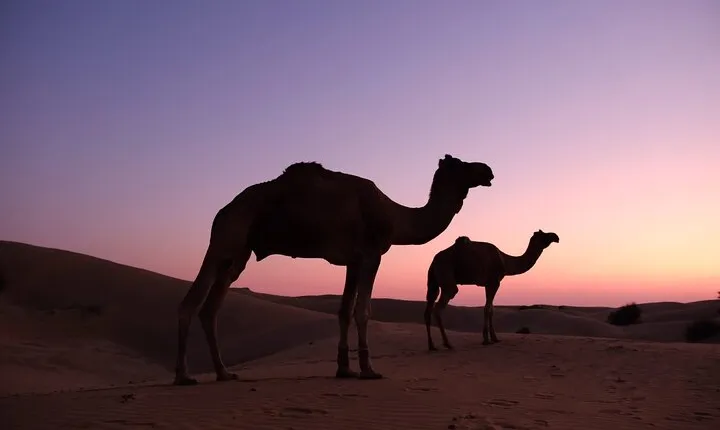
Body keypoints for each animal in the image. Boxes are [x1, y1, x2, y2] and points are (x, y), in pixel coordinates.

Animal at [175, 154, 494, 385]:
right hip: (225, 238)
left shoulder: (353, 260)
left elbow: (343, 311)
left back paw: (224, 373)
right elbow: (363, 311)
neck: (395, 215)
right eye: (461, 164)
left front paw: (344, 369)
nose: (488, 170)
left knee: (211, 308)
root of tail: (223, 210)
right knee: (191, 302)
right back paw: (184, 376)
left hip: (238, 254)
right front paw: (368, 369)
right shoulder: (371, 254)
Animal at [424, 230, 559, 351]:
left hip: (433, 281)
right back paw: (448, 344)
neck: (505, 261)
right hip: (446, 273)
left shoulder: (488, 284)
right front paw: (486, 340)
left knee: (428, 308)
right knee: (440, 306)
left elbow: (491, 310)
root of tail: (434, 261)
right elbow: (487, 309)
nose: (556, 237)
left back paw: (432, 346)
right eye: (543, 235)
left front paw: (495, 338)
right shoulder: (494, 282)